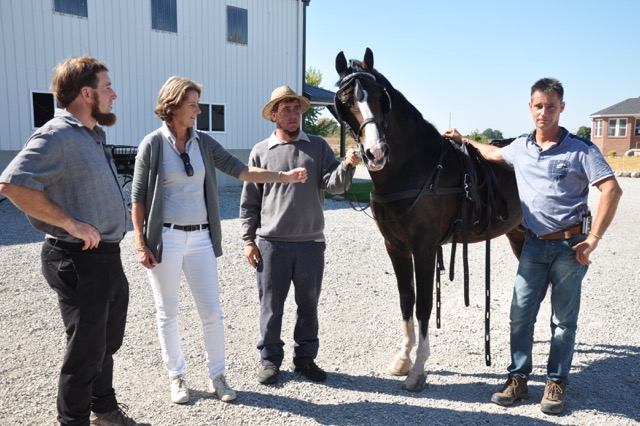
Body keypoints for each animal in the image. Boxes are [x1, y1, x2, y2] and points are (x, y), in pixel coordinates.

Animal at [336, 48, 524, 392]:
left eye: (381, 97)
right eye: (345, 100)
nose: (375, 153)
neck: (416, 168)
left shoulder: (424, 247)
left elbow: (424, 303)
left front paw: (418, 369)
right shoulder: (395, 246)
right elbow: (406, 299)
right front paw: (403, 358)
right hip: (518, 232)